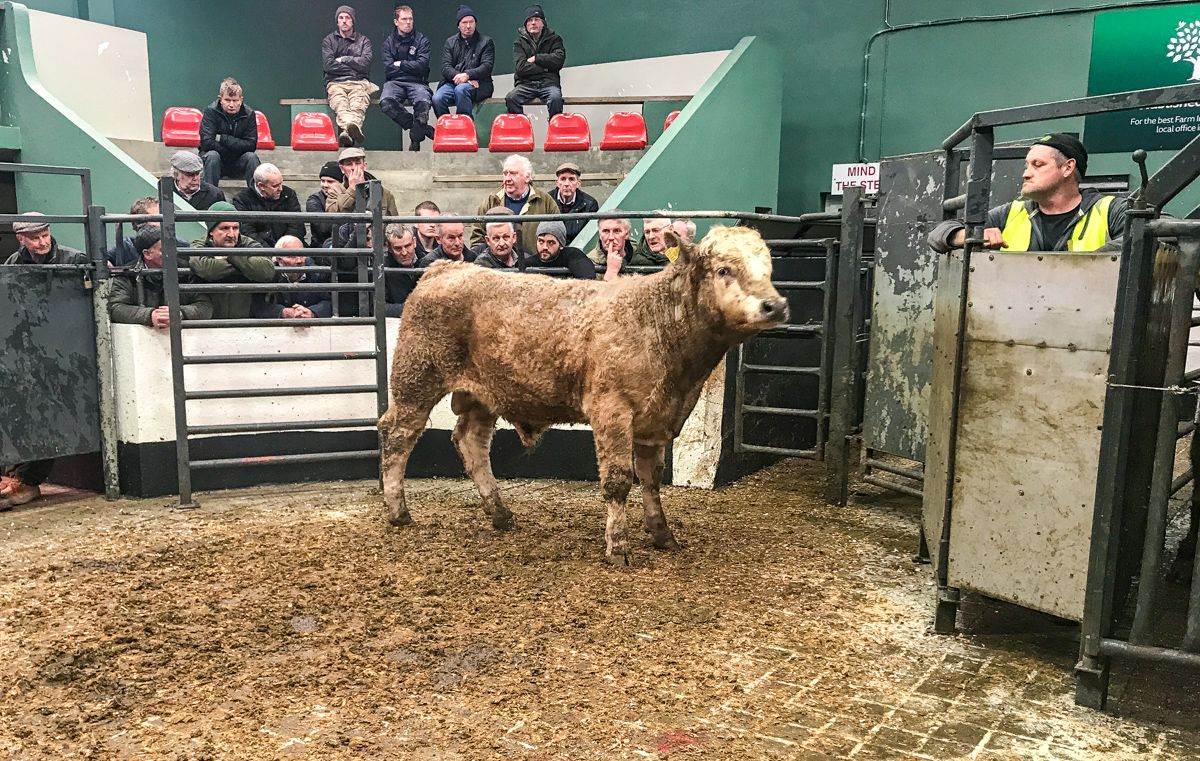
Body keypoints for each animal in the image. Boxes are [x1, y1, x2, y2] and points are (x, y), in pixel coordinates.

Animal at [377, 225, 789, 565]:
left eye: (769, 270)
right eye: (724, 270)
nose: (776, 305)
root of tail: (446, 268)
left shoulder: (656, 420)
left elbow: (652, 478)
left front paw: (662, 535)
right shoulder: (612, 410)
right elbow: (618, 481)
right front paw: (618, 548)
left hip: (483, 395)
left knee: (471, 442)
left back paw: (501, 514)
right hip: (415, 379)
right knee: (397, 436)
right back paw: (398, 511)